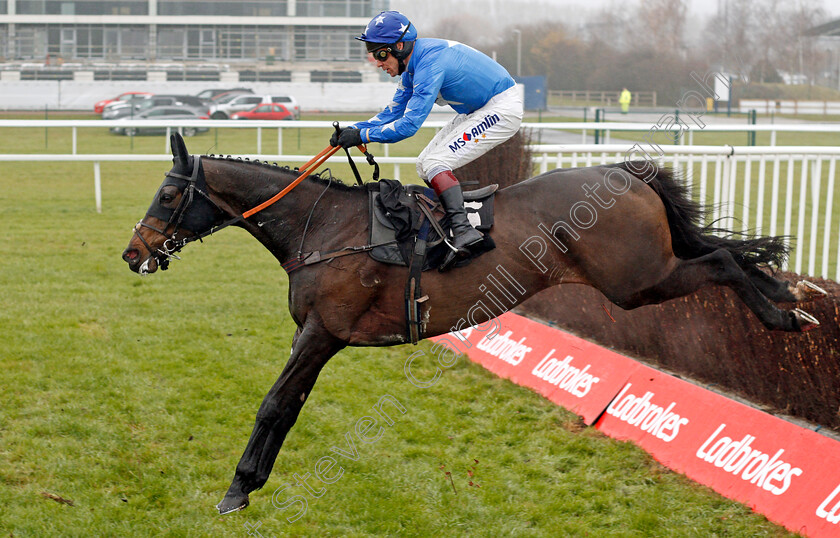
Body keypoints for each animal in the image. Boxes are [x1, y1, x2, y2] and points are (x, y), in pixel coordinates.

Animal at [121, 133, 824, 510]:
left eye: (167, 193)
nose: (132, 253)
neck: (323, 229)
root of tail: (625, 171)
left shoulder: (324, 332)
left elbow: (272, 403)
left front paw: (236, 488)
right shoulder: (313, 335)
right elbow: (287, 407)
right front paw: (252, 482)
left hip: (637, 282)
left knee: (724, 262)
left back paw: (787, 311)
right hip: (646, 273)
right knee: (722, 256)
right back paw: (790, 297)